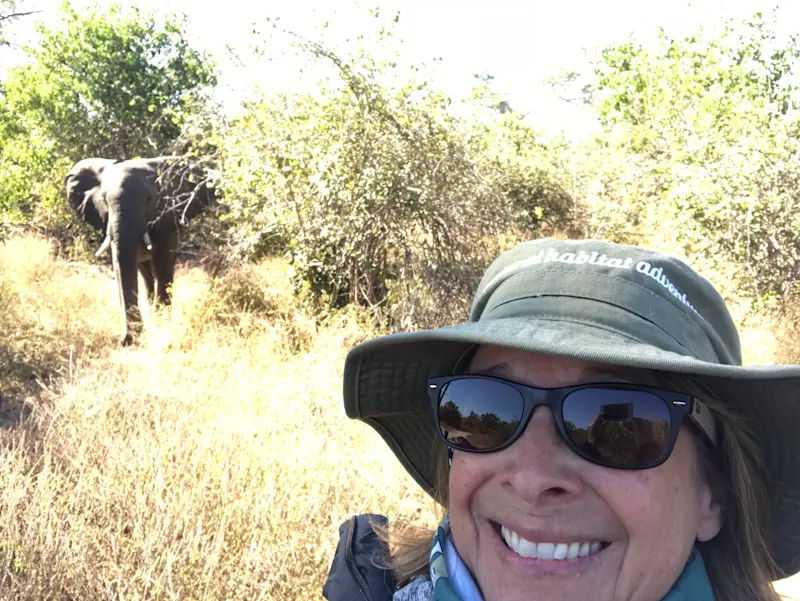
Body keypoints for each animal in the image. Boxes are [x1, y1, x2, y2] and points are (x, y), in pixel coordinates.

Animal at [65, 156, 215, 346]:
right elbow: (120, 264)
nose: (124, 341)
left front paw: (161, 323)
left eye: (149, 200)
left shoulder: (167, 218)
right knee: (145, 271)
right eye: (104, 201)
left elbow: (163, 263)